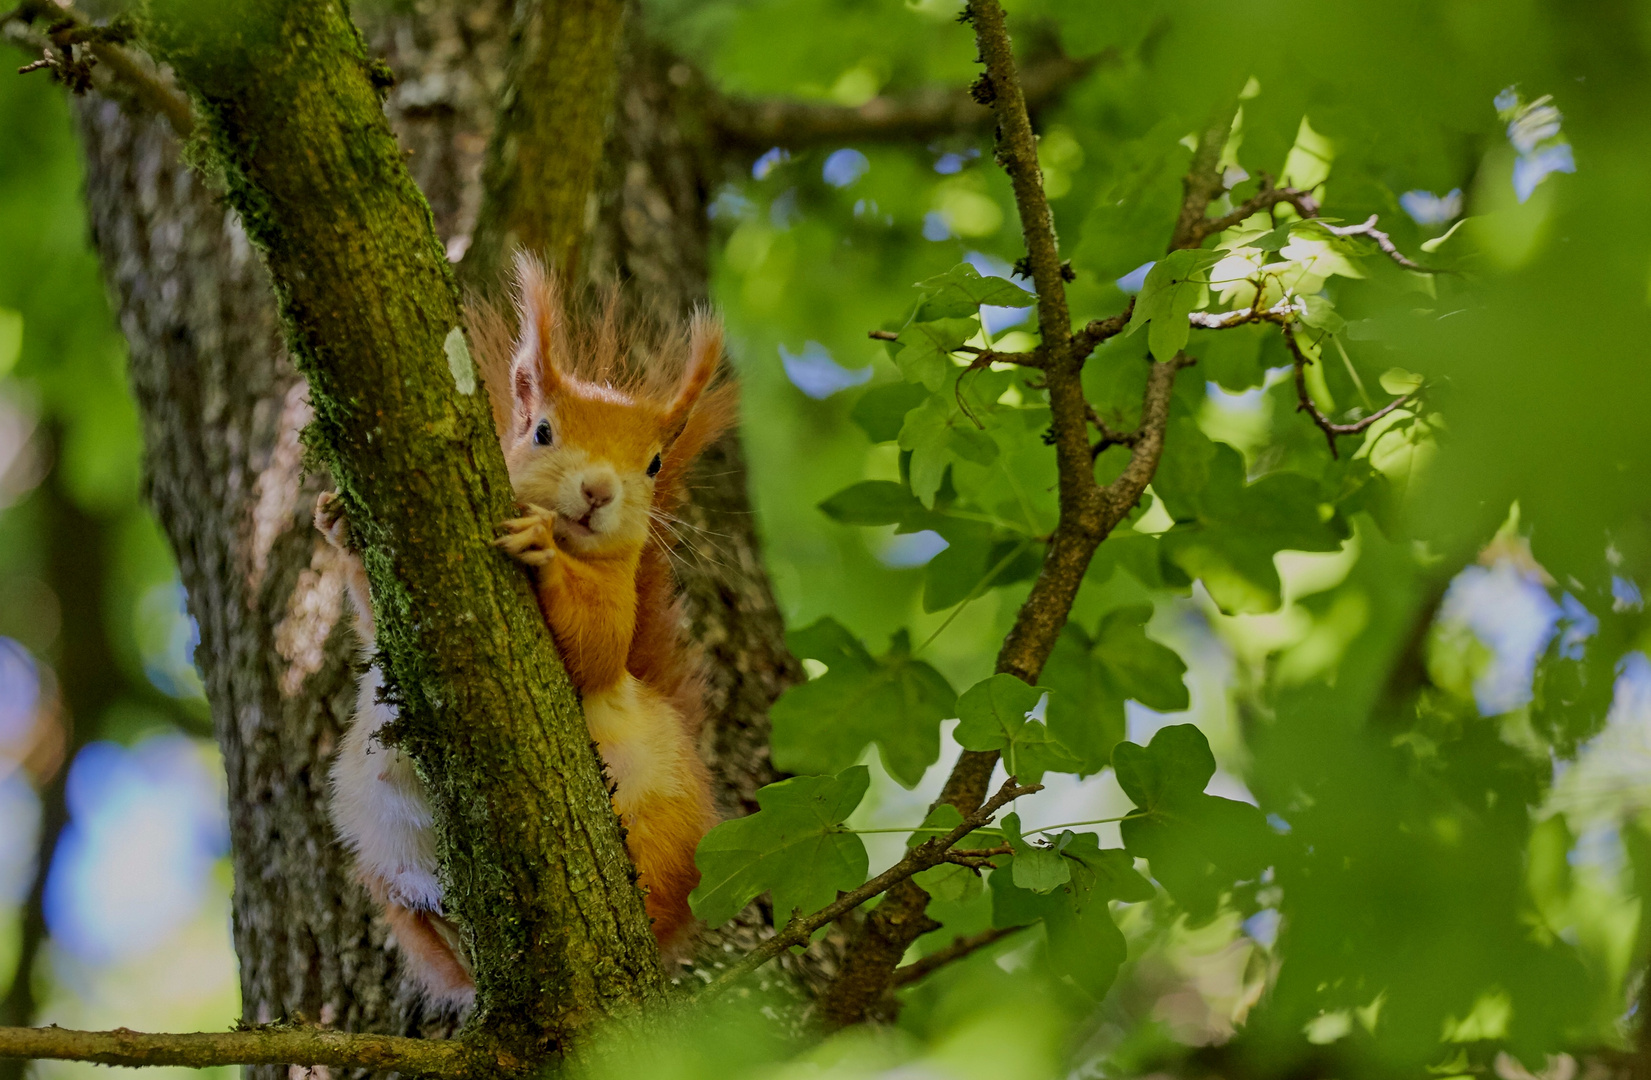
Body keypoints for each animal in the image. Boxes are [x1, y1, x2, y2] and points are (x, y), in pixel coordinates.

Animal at [318, 257, 733, 1010]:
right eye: (540, 432)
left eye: (654, 463)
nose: (598, 491)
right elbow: (371, 617)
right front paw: (338, 523)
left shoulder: (614, 615)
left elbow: (596, 646)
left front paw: (541, 550)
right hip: (387, 868)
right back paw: (452, 936)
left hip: (663, 829)